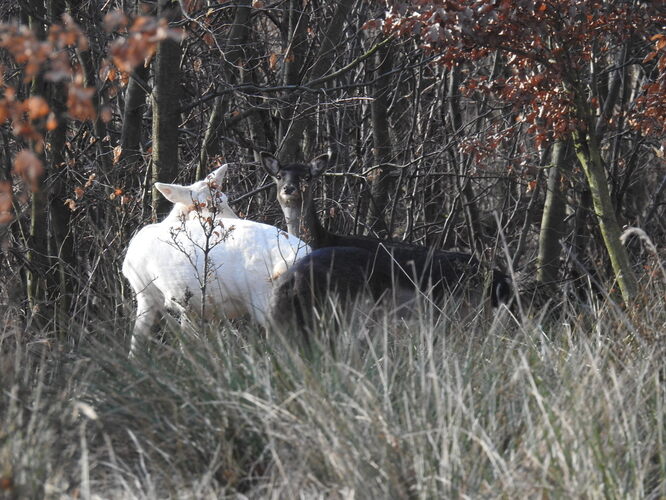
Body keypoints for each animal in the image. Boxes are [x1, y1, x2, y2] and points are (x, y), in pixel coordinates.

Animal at [122, 166, 312, 354]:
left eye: (225, 199)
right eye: (207, 205)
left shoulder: (146, 290)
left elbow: (137, 341)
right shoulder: (194, 307)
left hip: (265, 297)